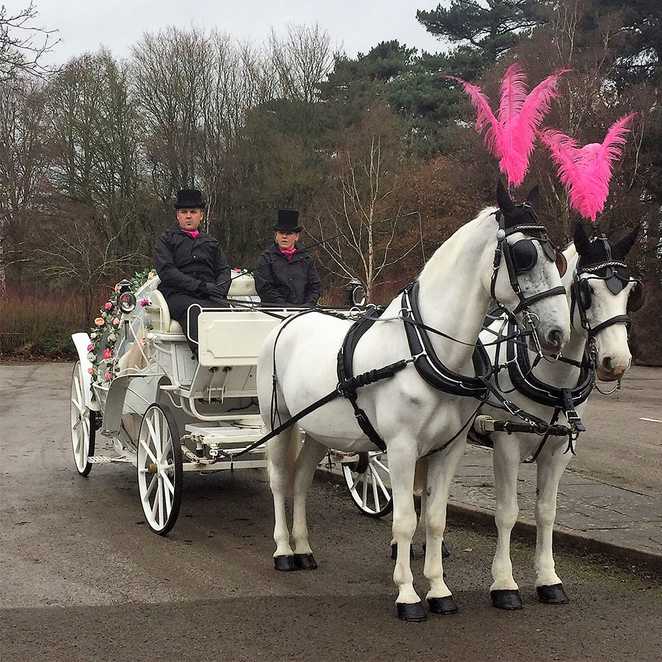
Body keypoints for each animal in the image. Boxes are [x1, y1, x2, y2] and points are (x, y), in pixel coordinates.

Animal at [256, 183, 572, 624]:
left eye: (554, 254)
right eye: (523, 255)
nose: (559, 332)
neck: (427, 349)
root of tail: (288, 320)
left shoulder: (449, 448)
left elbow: (436, 519)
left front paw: (439, 590)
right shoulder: (402, 448)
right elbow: (405, 520)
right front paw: (407, 594)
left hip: (318, 428)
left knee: (301, 479)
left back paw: (303, 548)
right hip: (278, 421)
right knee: (280, 480)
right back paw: (284, 550)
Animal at [480, 223, 644, 612]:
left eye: (631, 290)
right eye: (587, 291)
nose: (617, 361)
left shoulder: (558, 452)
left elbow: (546, 511)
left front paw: (548, 579)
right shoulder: (505, 443)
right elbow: (507, 512)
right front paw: (504, 583)